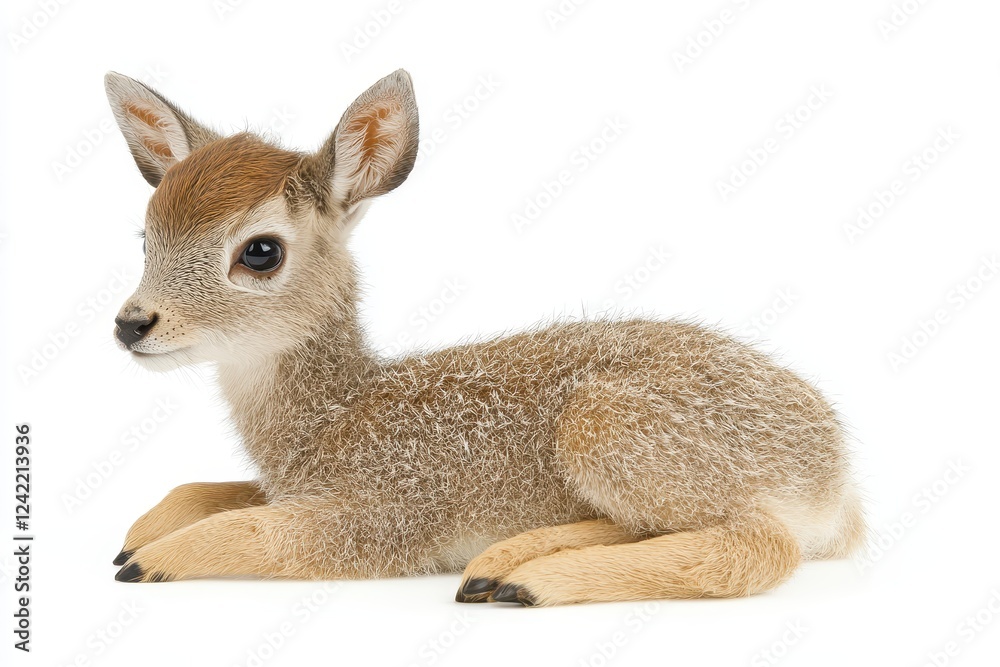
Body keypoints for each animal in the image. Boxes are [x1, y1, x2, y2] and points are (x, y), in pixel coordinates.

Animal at [105, 69, 865, 606]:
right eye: (146, 238)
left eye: (260, 251)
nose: (132, 323)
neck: (331, 415)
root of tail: (834, 475)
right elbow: (207, 489)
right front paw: (138, 531)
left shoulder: (377, 517)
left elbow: (252, 530)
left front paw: (149, 558)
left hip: (603, 425)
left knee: (759, 544)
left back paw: (523, 576)